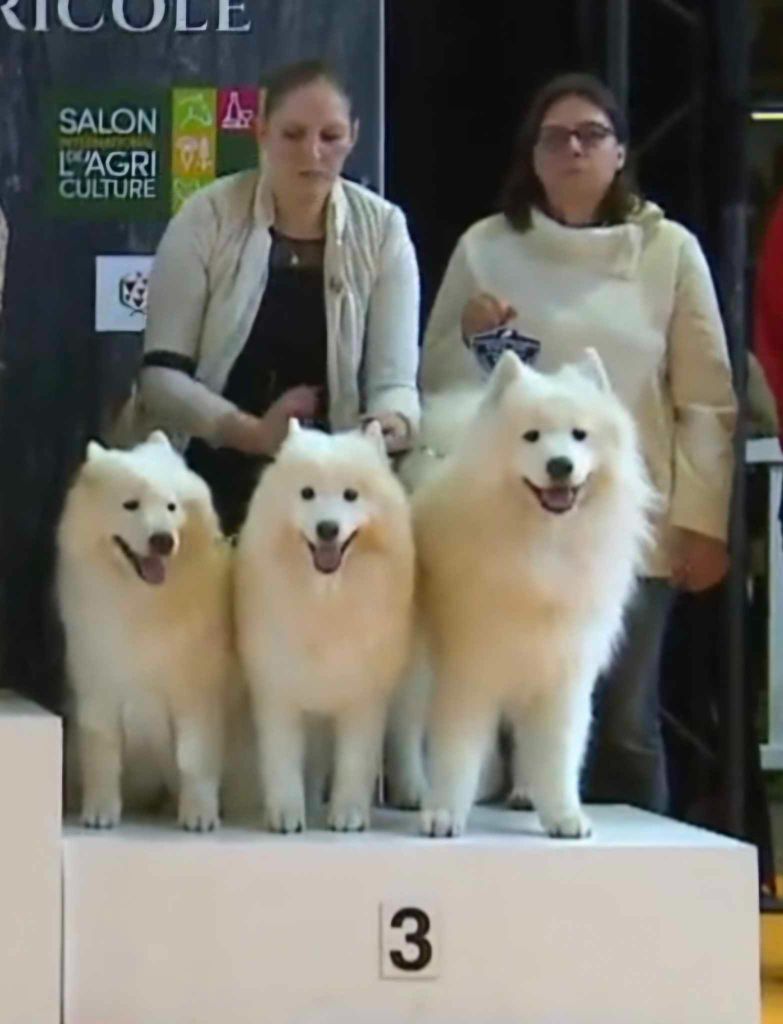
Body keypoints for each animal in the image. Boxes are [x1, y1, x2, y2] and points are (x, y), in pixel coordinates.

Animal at [56, 432, 232, 831]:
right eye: (130, 505)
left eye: (171, 507)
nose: (162, 539)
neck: (143, 603)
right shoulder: (100, 691)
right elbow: (102, 759)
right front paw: (100, 812)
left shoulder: (195, 694)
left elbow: (194, 760)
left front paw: (199, 814)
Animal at [236, 419, 415, 835]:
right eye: (307, 493)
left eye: (351, 495)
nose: (328, 528)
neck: (325, 602)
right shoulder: (279, 694)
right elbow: (282, 763)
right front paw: (286, 813)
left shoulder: (363, 698)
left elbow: (354, 763)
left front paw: (348, 814)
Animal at [411, 348, 655, 835]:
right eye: (531, 436)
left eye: (580, 435)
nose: (559, 464)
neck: (541, 546)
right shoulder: (468, 669)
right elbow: (456, 751)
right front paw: (444, 811)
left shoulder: (561, 668)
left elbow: (557, 753)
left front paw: (563, 815)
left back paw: (525, 793)